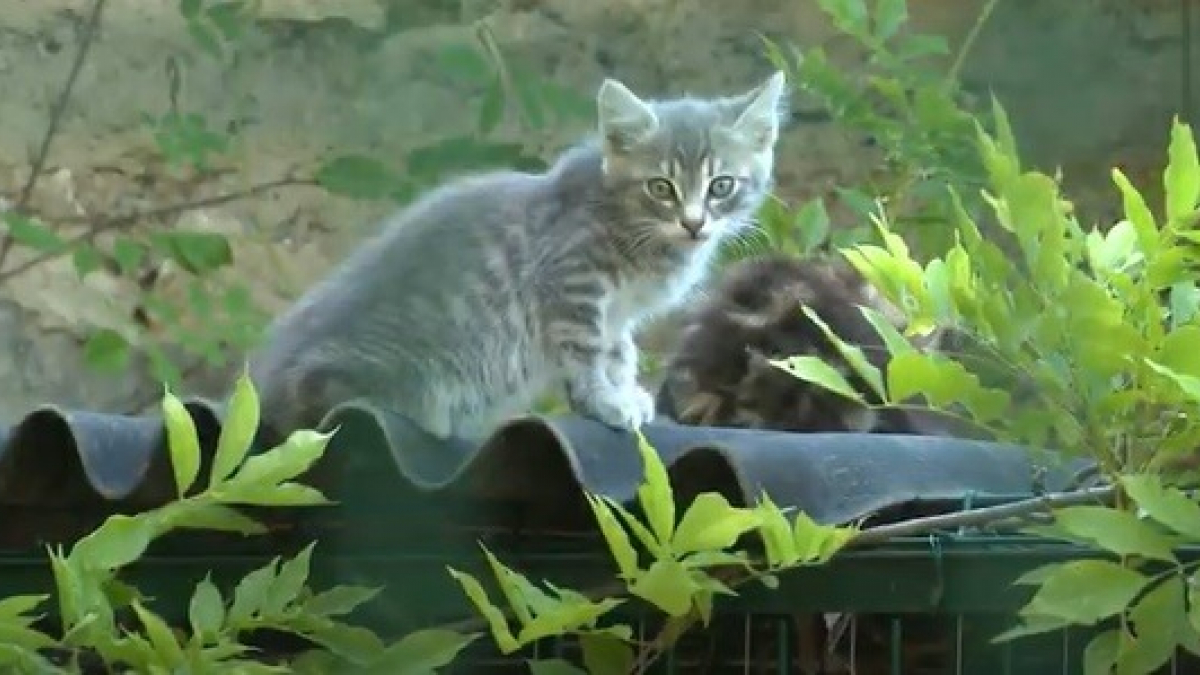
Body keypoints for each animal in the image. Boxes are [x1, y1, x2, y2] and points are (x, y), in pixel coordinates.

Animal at [246, 70, 787, 444]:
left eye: (721, 186)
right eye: (661, 188)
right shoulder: (572, 286)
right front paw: (604, 402)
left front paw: (623, 390)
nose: (694, 223)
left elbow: (619, 350)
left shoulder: (616, 310)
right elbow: (588, 352)